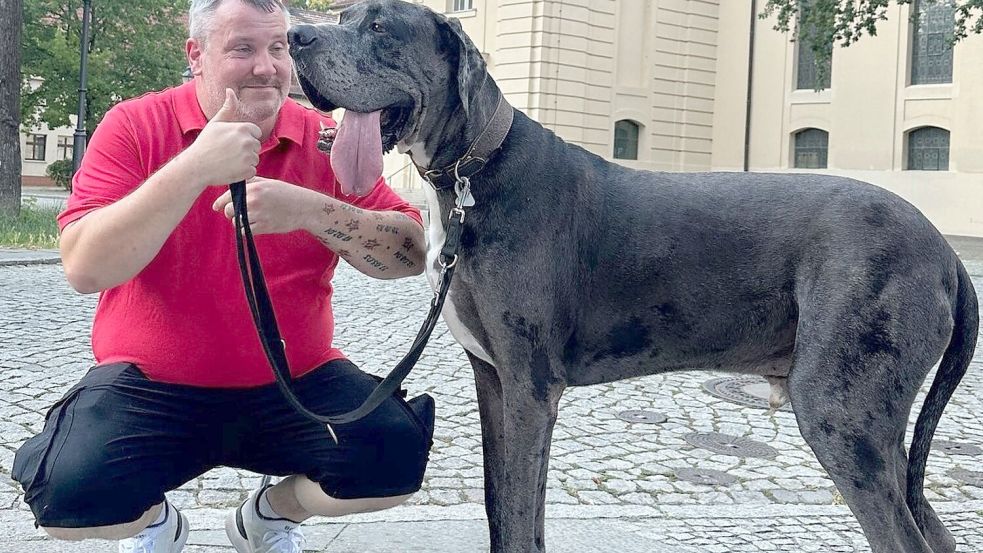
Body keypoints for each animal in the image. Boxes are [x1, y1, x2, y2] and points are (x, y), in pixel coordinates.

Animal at [284, 2, 976, 548]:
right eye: (341, 15)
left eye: (379, 27)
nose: (297, 35)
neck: (471, 179)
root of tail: (945, 253)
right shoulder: (494, 380)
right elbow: (500, 509)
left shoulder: (532, 386)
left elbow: (519, 513)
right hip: (877, 431)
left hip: (840, 413)